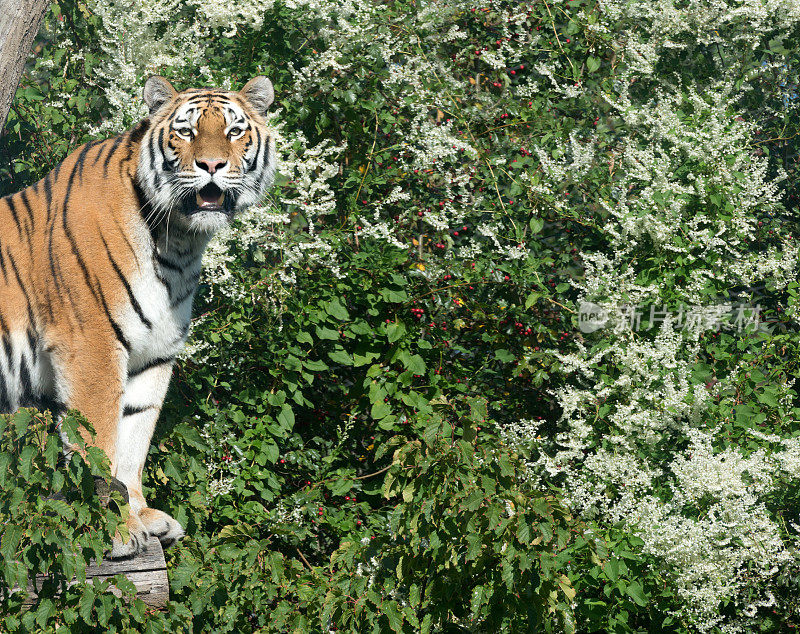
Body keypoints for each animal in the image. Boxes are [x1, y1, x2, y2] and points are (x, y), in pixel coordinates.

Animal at [0, 75, 276, 552]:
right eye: (186, 131)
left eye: (234, 131)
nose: (212, 165)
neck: (179, 243)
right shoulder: (90, 347)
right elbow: (98, 443)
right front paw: (110, 531)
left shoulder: (154, 354)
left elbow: (134, 439)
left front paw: (141, 517)